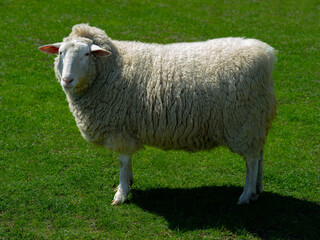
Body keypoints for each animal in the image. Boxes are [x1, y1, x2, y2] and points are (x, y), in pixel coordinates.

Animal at [38, 23, 276, 205]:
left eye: (87, 54)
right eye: (60, 53)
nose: (67, 80)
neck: (112, 68)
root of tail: (266, 54)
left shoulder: (120, 128)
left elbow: (122, 161)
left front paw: (121, 194)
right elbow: (126, 162)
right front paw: (128, 183)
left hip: (245, 122)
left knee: (251, 160)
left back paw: (246, 195)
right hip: (256, 120)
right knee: (260, 154)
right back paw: (257, 189)